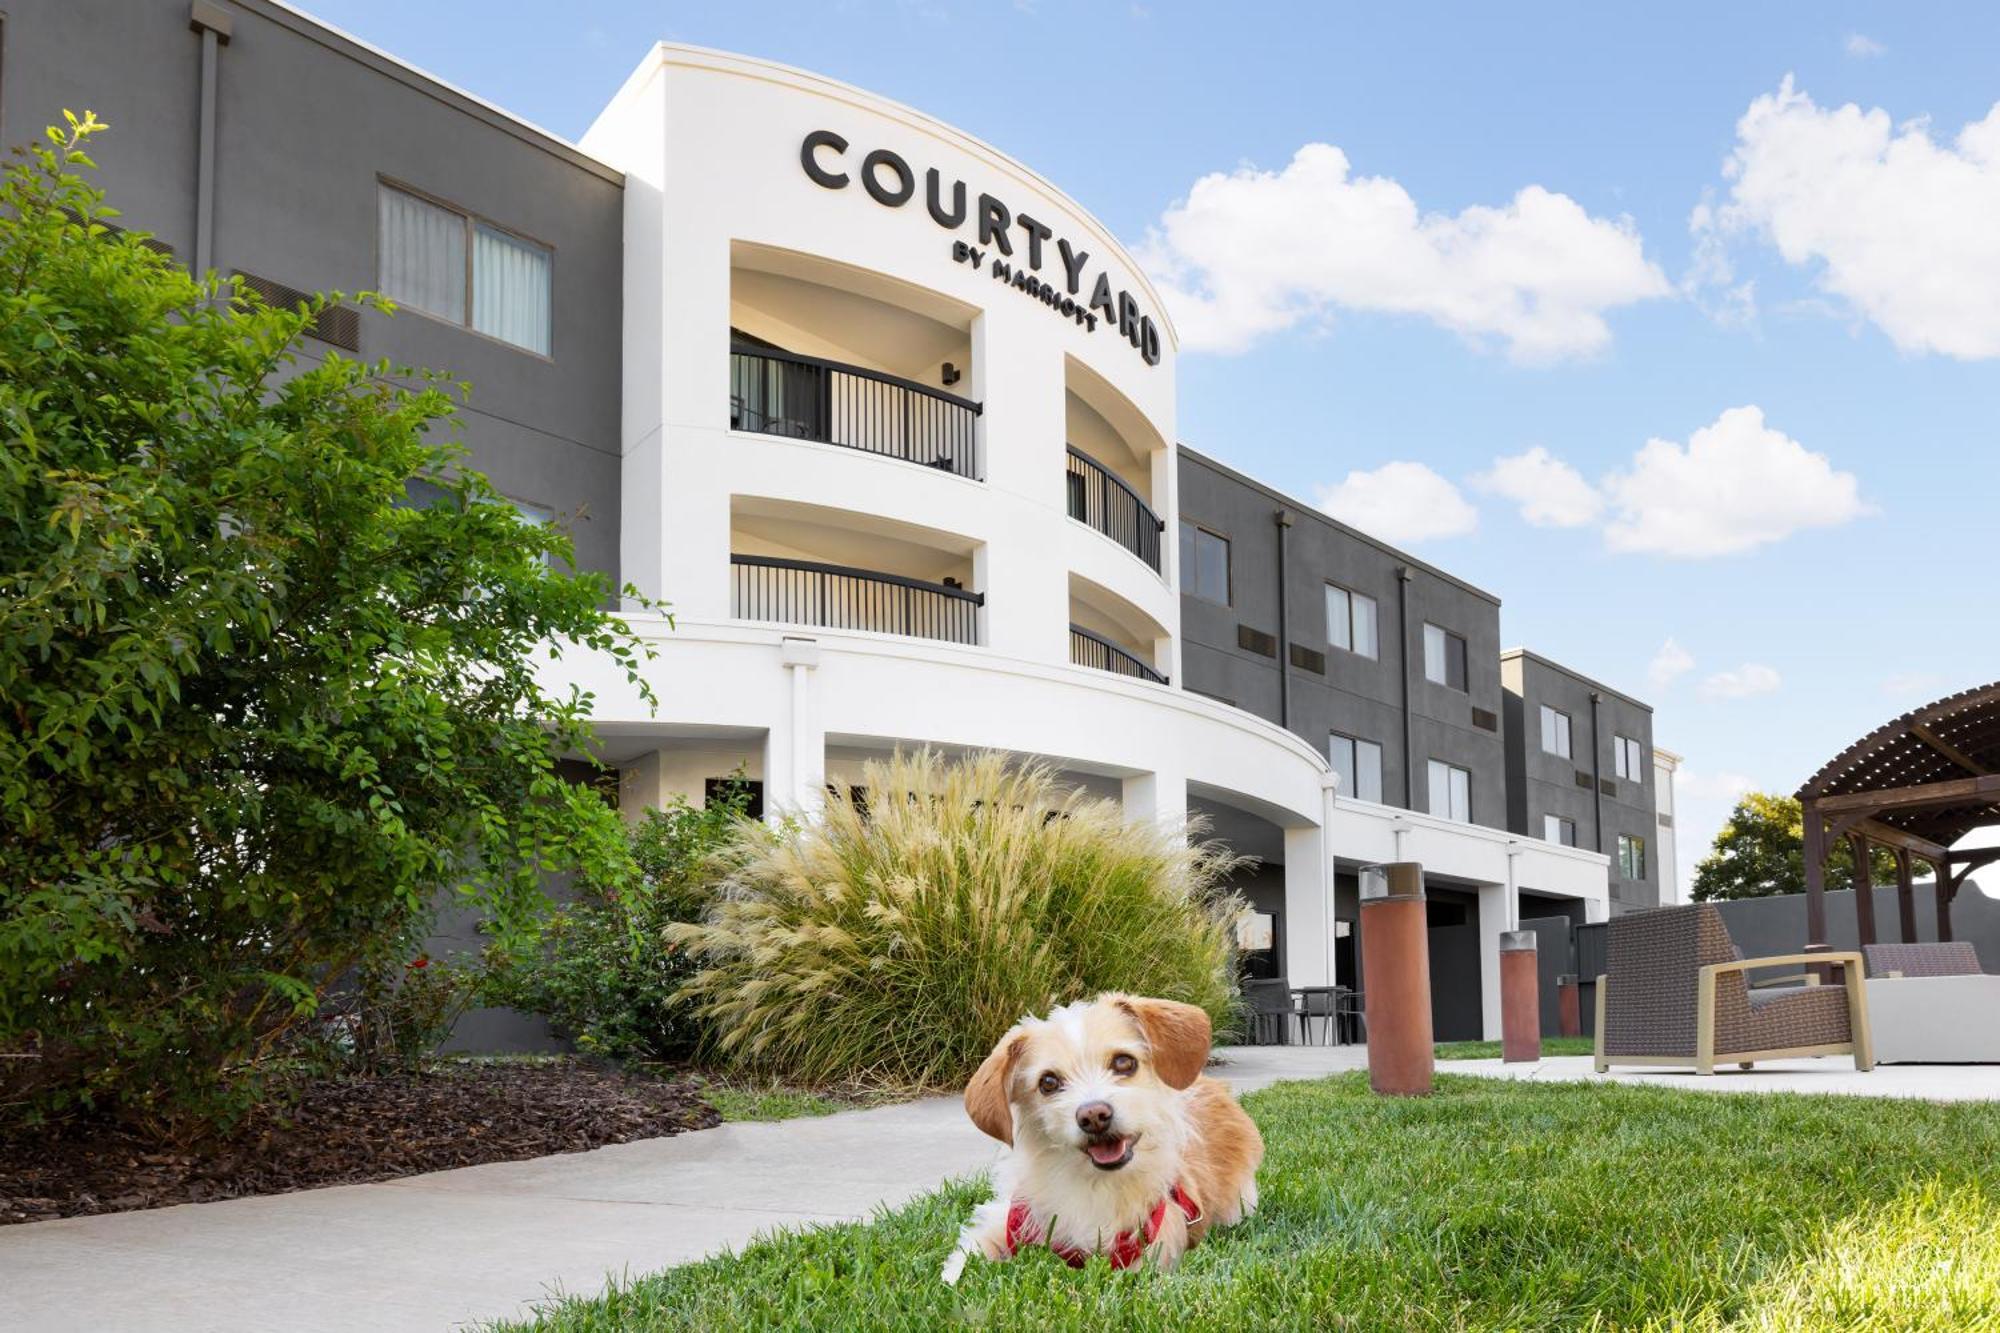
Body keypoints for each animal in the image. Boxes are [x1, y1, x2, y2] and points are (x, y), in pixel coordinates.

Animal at [940, 984, 1256, 1280]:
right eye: (1048, 1082)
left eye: (1124, 1062)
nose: (1093, 1116)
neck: (1091, 1183)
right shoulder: (1005, 1220)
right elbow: (962, 1264)